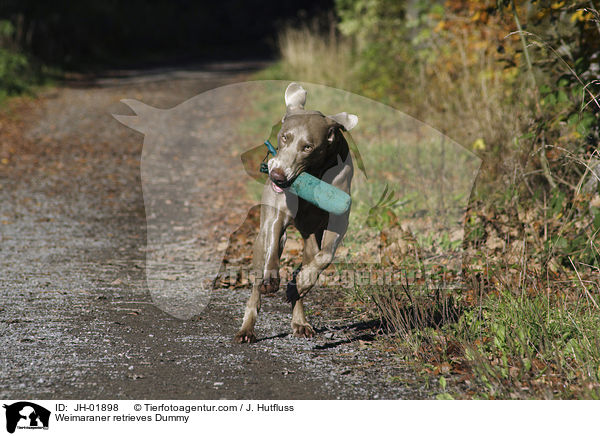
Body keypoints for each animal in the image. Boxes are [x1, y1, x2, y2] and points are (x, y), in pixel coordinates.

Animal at [233, 83, 356, 342]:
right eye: (284, 137)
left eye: (308, 147)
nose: (277, 175)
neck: (314, 173)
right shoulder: (277, 213)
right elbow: (274, 238)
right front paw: (271, 279)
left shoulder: (339, 218)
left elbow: (325, 256)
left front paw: (302, 283)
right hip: (261, 240)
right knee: (257, 281)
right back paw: (247, 328)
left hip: (310, 237)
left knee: (307, 264)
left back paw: (299, 315)